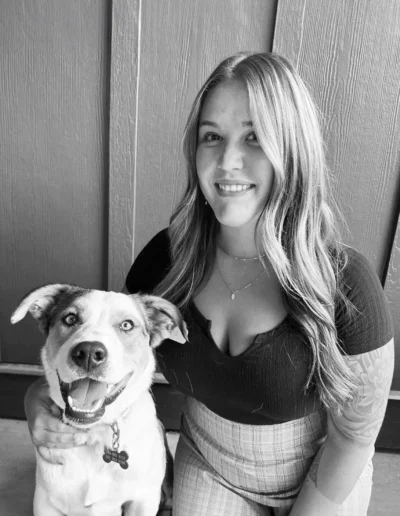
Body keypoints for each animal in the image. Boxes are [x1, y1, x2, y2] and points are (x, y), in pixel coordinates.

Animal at [11, 284, 188, 512]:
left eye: (127, 325)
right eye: (70, 318)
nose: (88, 352)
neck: (94, 433)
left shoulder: (143, 500)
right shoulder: (46, 503)